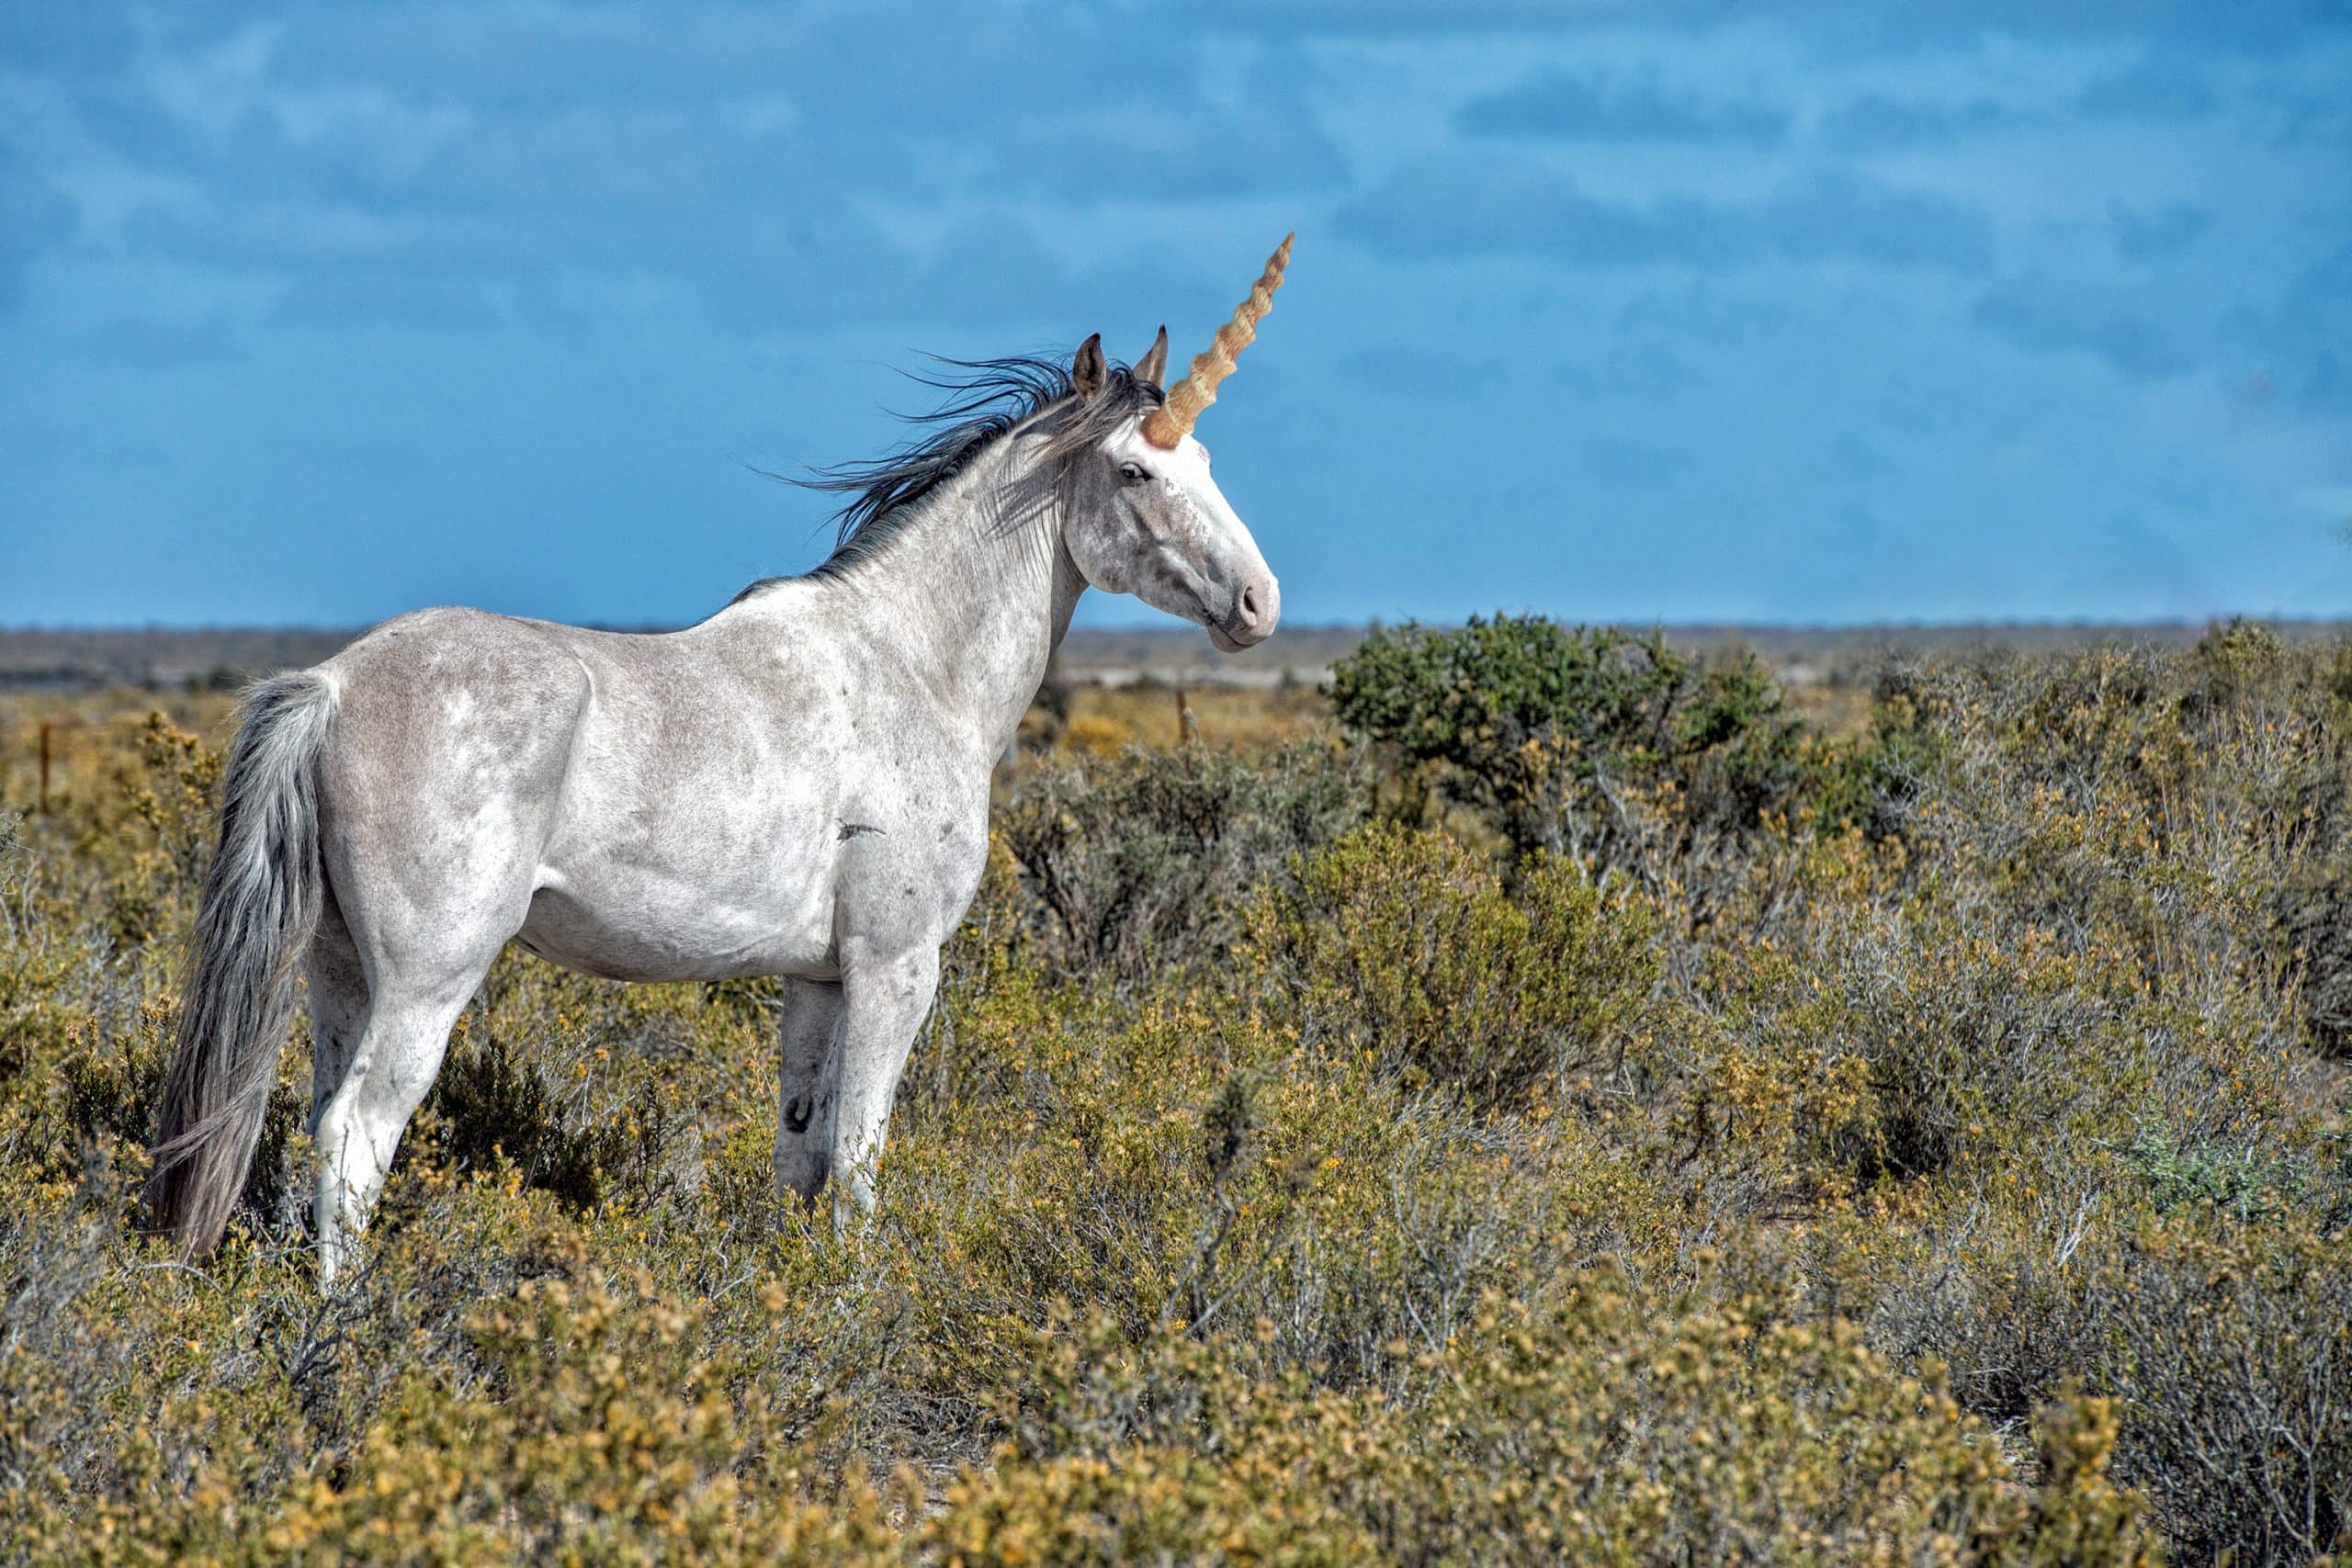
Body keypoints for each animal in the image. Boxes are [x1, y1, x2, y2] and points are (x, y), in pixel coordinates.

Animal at [147, 240, 1298, 1279]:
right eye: (1135, 469)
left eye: (1205, 463)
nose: (1258, 603)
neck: (908, 661)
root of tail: (332, 685)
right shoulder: (895, 968)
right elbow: (860, 1160)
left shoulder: (817, 980)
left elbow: (800, 1156)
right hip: (430, 979)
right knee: (356, 1137)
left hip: (338, 972)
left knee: (315, 1123)